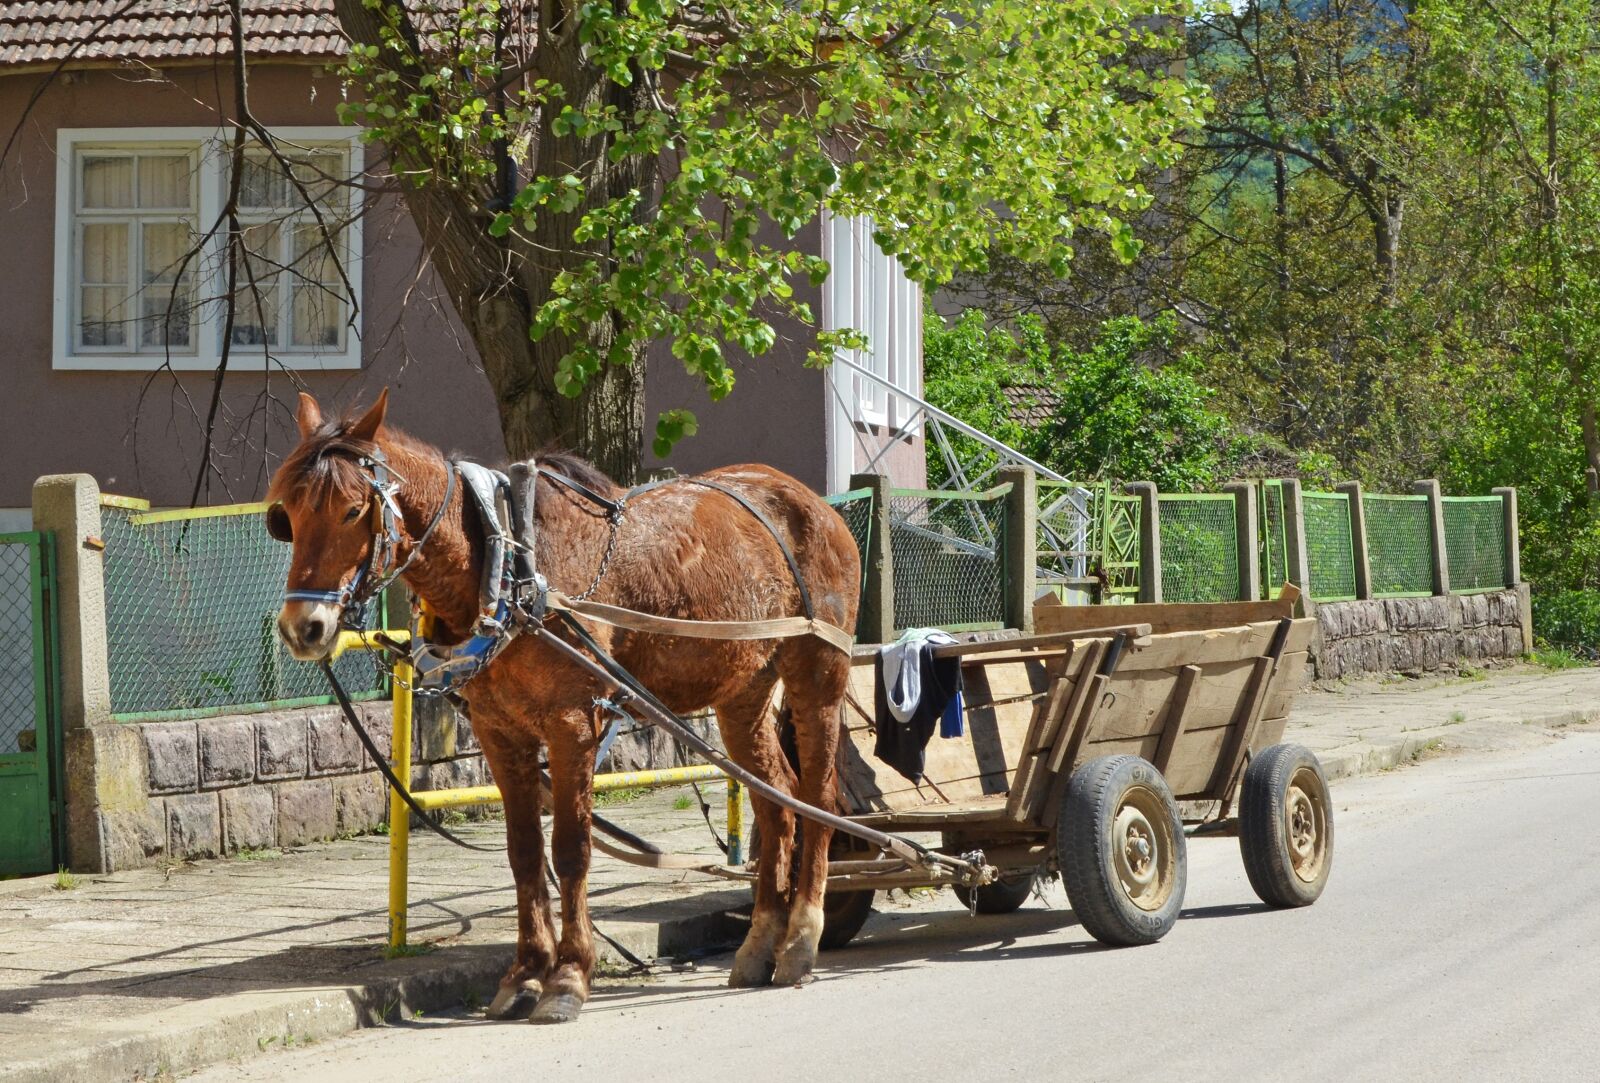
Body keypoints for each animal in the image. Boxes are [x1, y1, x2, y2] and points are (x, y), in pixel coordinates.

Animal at [267, 390, 860, 1023]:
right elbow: (525, 853)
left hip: (818, 674)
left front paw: (570, 977)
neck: (506, 567)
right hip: (743, 690)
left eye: (354, 510)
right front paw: (525, 973)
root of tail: (810, 501)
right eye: (288, 516)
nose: (303, 627)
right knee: (776, 801)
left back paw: (801, 937)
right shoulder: (500, 732)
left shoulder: (574, 724)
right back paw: (759, 942)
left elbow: (571, 850)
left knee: (818, 796)